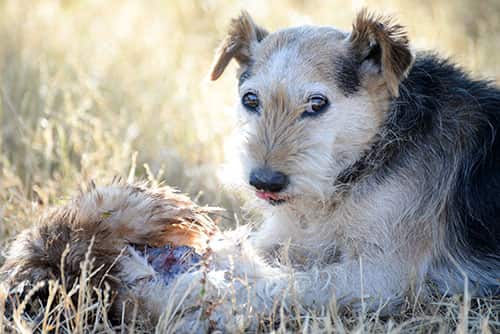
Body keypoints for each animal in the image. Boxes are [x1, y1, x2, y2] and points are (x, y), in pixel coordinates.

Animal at [0, 9, 500, 332]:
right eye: (250, 99)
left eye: (317, 104)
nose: (264, 182)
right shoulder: (286, 235)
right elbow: (236, 252)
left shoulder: (387, 273)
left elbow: (292, 285)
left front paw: (204, 301)